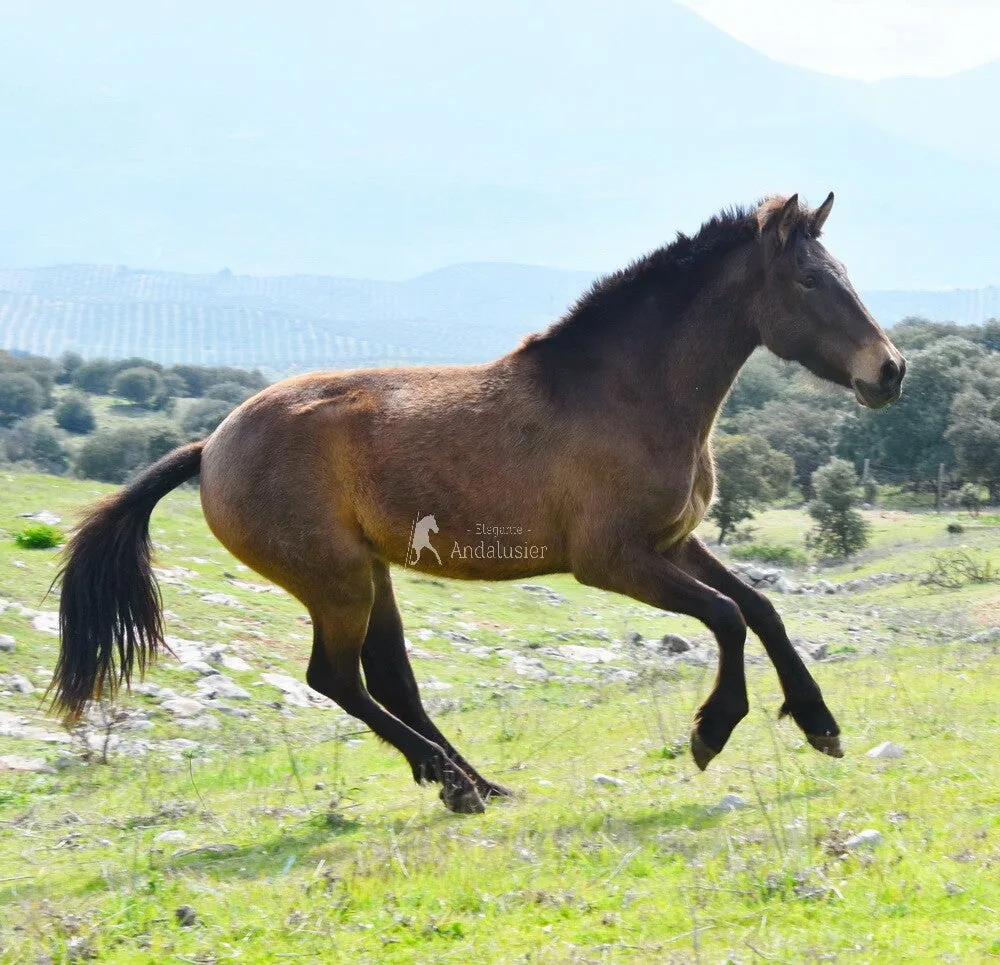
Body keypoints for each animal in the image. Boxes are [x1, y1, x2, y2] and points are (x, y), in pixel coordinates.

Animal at [51, 193, 906, 813]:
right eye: (809, 281)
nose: (890, 370)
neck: (629, 393)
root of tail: (211, 445)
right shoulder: (613, 560)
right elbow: (727, 617)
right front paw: (711, 731)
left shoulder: (672, 542)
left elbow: (761, 607)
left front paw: (821, 725)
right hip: (335, 580)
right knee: (338, 679)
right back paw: (457, 786)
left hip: (370, 574)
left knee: (389, 680)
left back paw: (480, 783)